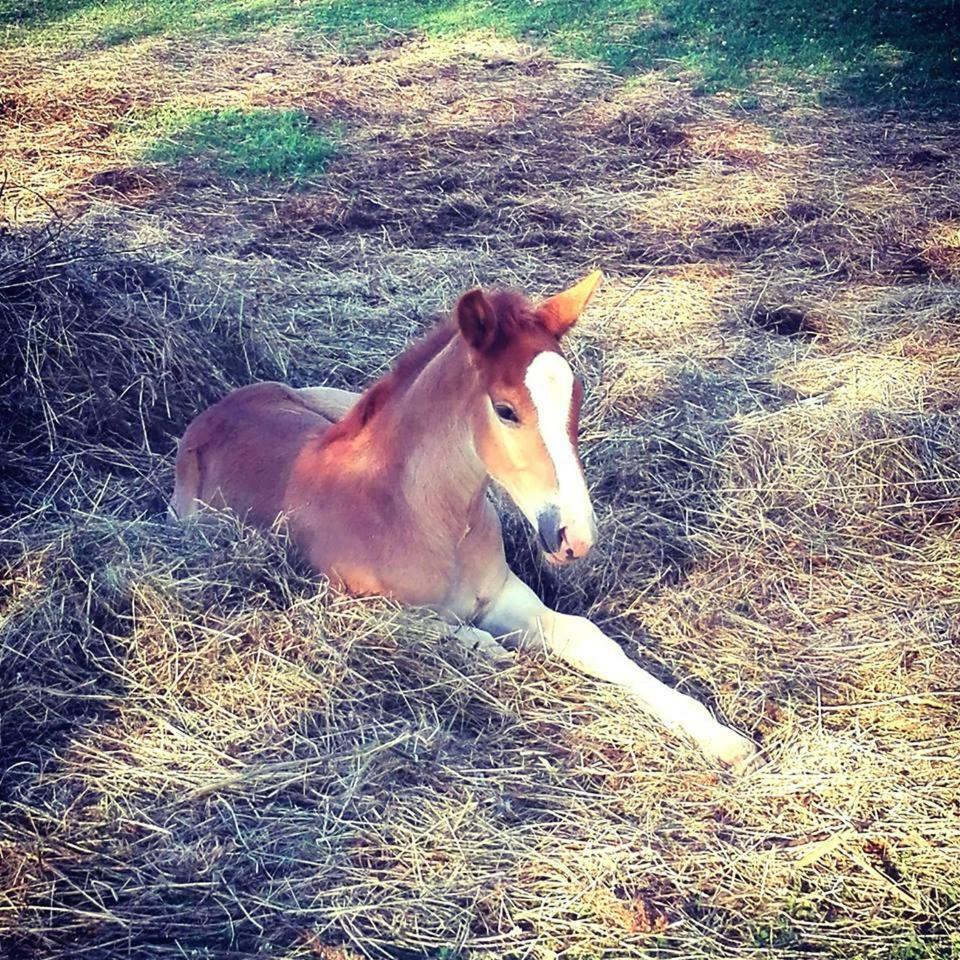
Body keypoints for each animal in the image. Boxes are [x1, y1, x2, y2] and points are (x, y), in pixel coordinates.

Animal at [172, 274, 756, 768]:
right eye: (505, 409)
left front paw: (716, 735)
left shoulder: (506, 595)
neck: (426, 519)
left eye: (577, 396)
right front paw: (482, 648)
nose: (575, 536)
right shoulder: (341, 603)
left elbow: (589, 637)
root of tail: (222, 405)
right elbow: (441, 632)